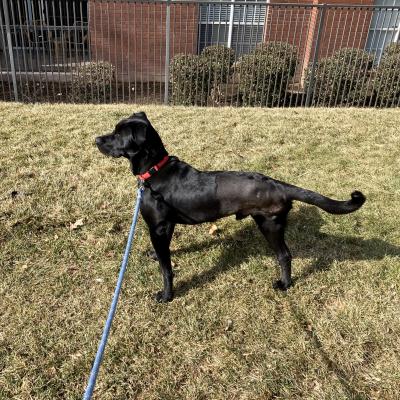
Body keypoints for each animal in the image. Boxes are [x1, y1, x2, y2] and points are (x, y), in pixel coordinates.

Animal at [96, 111, 366, 302]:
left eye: (119, 134)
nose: (96, 139)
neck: (155, 171)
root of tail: (278, 185)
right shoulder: (166, 227)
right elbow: (164, 254)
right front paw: (155, 255)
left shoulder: (158, 227)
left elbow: (166, 269)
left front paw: (167, 295)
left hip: (270, 225)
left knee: (285, 255)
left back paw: (284, 284)